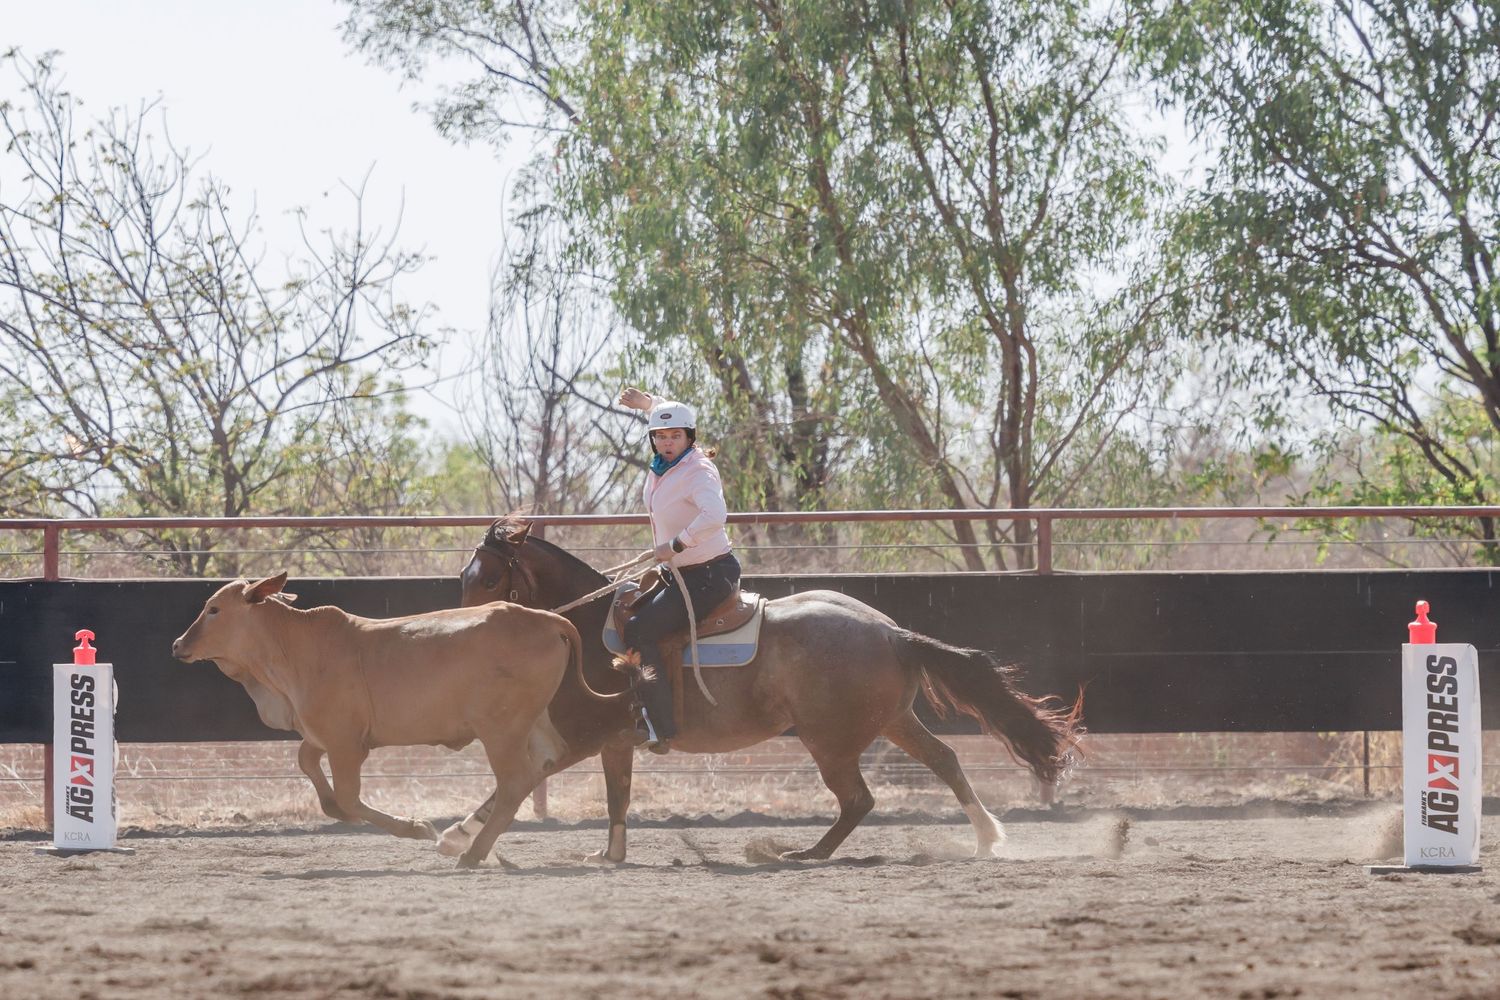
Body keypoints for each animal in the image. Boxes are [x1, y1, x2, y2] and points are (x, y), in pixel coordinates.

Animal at [171, 571, 579, 868]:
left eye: (213, 609)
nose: (178, 645)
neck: (297, 647)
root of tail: (546, 620)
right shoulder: (322, 736)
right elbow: (311, 769)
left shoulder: (345, 744)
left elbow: (349, 799)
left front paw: (417, 828)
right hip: (531, 723)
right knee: (545, 762)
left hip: (500, 730)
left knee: (514, 782)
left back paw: (471, 851)